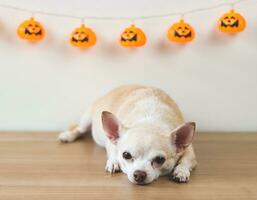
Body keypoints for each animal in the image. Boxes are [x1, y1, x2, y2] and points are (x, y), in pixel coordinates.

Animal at [58, 85, 196, 184]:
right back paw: (67, 136)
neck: (149, 120)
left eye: (159, 160)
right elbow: (113, 150)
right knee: (79, 129)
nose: (139, 174)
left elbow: (187, 159)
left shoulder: (189, 149)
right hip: (87, 118)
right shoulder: (112, 140)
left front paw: (181, 171)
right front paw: (114, 162)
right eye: (126, 155)